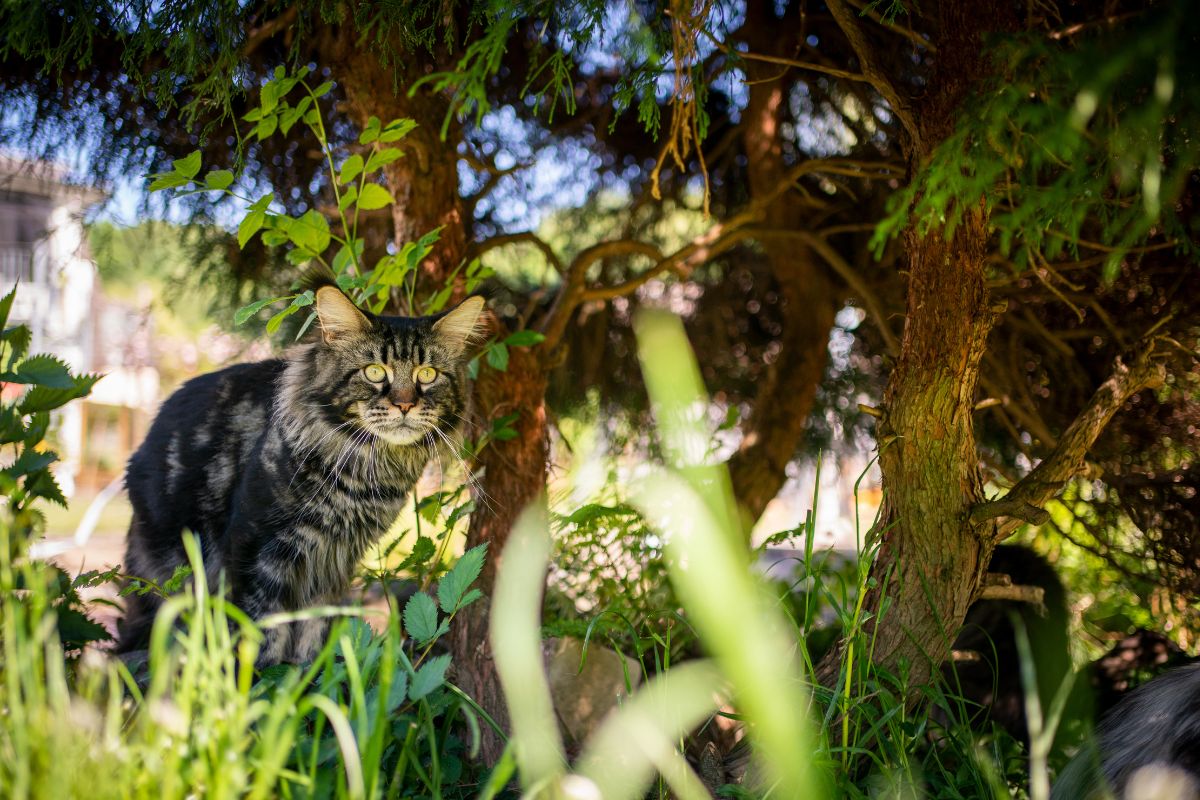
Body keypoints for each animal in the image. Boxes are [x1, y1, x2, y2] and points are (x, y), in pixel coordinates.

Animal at [115, 281, 482, 662]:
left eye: (427, 374)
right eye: (374, 372)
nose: (405, 404)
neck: (365, 473)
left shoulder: (333, 562)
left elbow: (312, 631)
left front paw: (306, 671)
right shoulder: (258, 548)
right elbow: (263, 633)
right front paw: (265, 675)